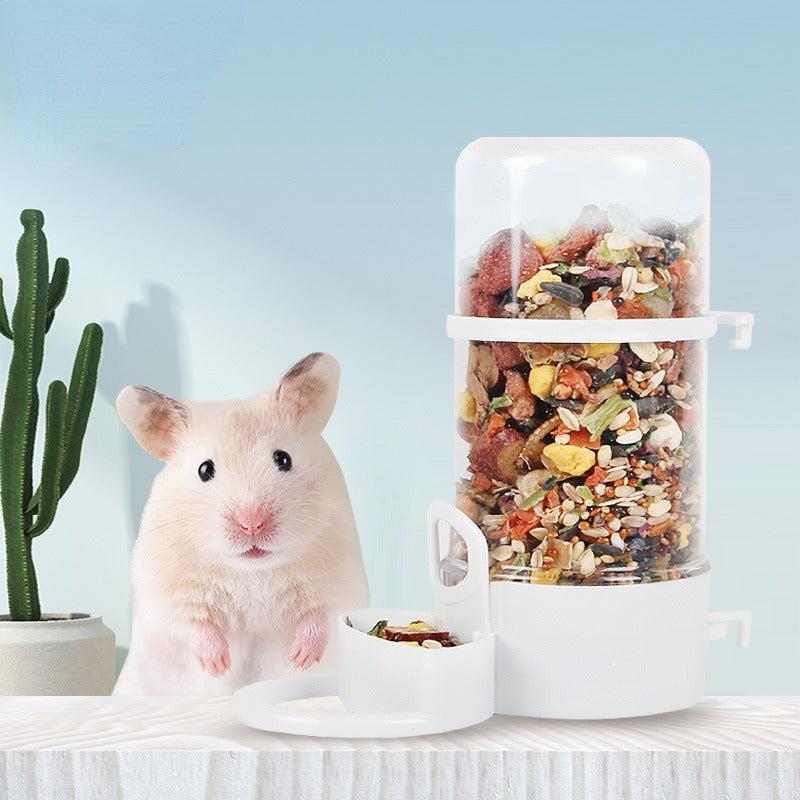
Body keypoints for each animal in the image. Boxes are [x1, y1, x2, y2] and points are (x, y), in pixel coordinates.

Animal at [113, 353, 369, 696]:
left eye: (283, 459)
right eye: (204, 469)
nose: (252, 524)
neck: (253, 572)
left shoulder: (344, 583)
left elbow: (322, 616)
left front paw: (301, 658)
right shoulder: (165, 595)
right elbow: (194, 624)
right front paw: (219, 665)